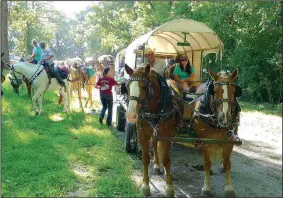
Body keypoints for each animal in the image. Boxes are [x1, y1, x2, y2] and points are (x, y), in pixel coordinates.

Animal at [125, 63, 184, 196]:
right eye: (127, 86)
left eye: (144, 87)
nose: (131, 116)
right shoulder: (142, 133)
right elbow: (146, 158)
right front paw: (145, 186)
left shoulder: (167, 134)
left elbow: (166, 159)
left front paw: (169, 187)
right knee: (155, 142)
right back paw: (157, 165)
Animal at [193, 69, 242, 197]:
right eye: (214, 91)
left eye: (234, 91)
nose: (225, 119)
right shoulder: (205, 142)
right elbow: (206, 162)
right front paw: (206, 187)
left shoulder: (229, 140)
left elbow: (227, 163)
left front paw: (229, 188)